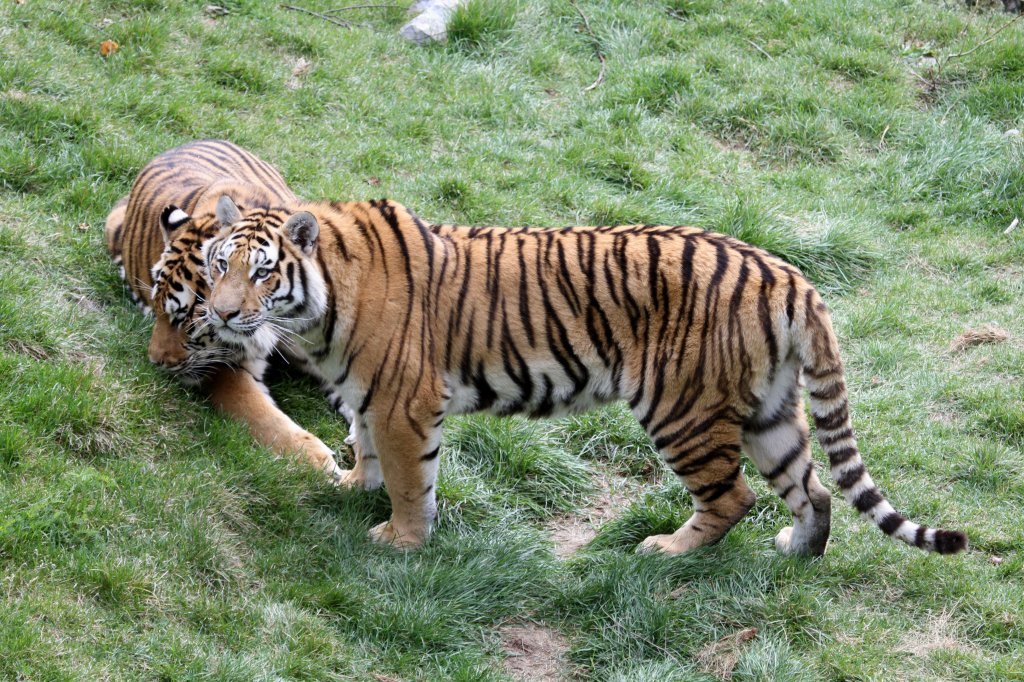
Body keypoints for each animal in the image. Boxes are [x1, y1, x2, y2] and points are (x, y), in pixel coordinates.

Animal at [102, 138, 352, 477]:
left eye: (188, 319)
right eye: (156, 309)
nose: (155, 362)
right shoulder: (226, 367)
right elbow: (265, 418)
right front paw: (322, 464)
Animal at [178, 193, 966, 557]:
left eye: (262, 274)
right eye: (217, 264)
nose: (222, 312)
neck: (320, 308)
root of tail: (788, 274)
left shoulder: (404, 401)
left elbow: (407, 476)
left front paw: (400, 538)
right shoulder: (369, 397)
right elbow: (365, 448)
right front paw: (351, 485)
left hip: (682, 409)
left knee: (734, 496)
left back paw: (666, 550)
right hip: (771, 411)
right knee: (813, 489)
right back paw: (797, 550)